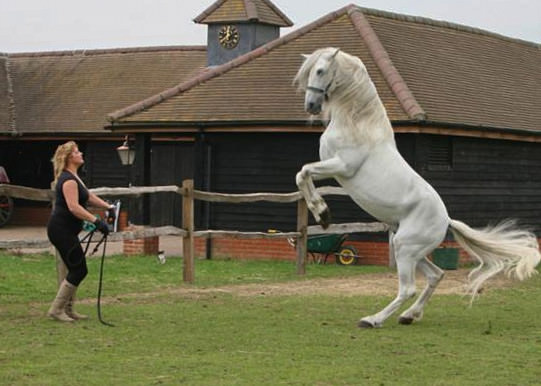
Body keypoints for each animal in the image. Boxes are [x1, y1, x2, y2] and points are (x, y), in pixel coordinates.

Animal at [296, 46, 540, 328]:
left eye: (320, 70)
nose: (311, 105)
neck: (357, 124)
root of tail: (446, 220)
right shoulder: (332, 169)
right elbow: (302, 176)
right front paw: (322, 214)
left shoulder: (341, 167)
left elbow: (304, 172)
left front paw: (322, 213)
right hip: (410, 248)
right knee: (436, 275)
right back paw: (409, 315)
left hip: (406, 248)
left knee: (408, 288)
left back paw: (373, 319)